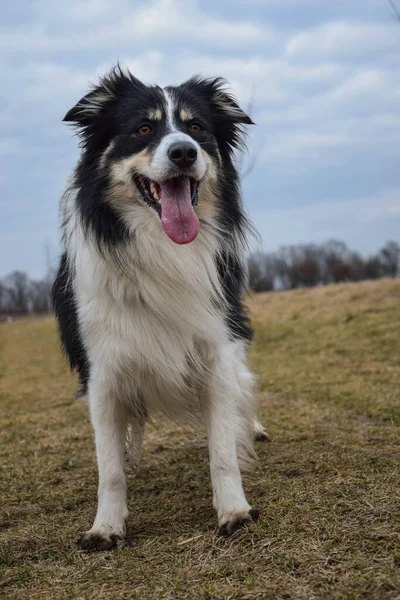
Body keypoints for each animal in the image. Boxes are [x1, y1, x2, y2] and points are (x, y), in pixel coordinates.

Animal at [51, 67, 268, 552]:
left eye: (197, 128)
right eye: (143, 129)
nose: (184, 152)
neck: (160, 248)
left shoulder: (217, 349)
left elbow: (222, 449)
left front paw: (234, 510)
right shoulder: (103, 370)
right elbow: (109, 467)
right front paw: (106, 526)